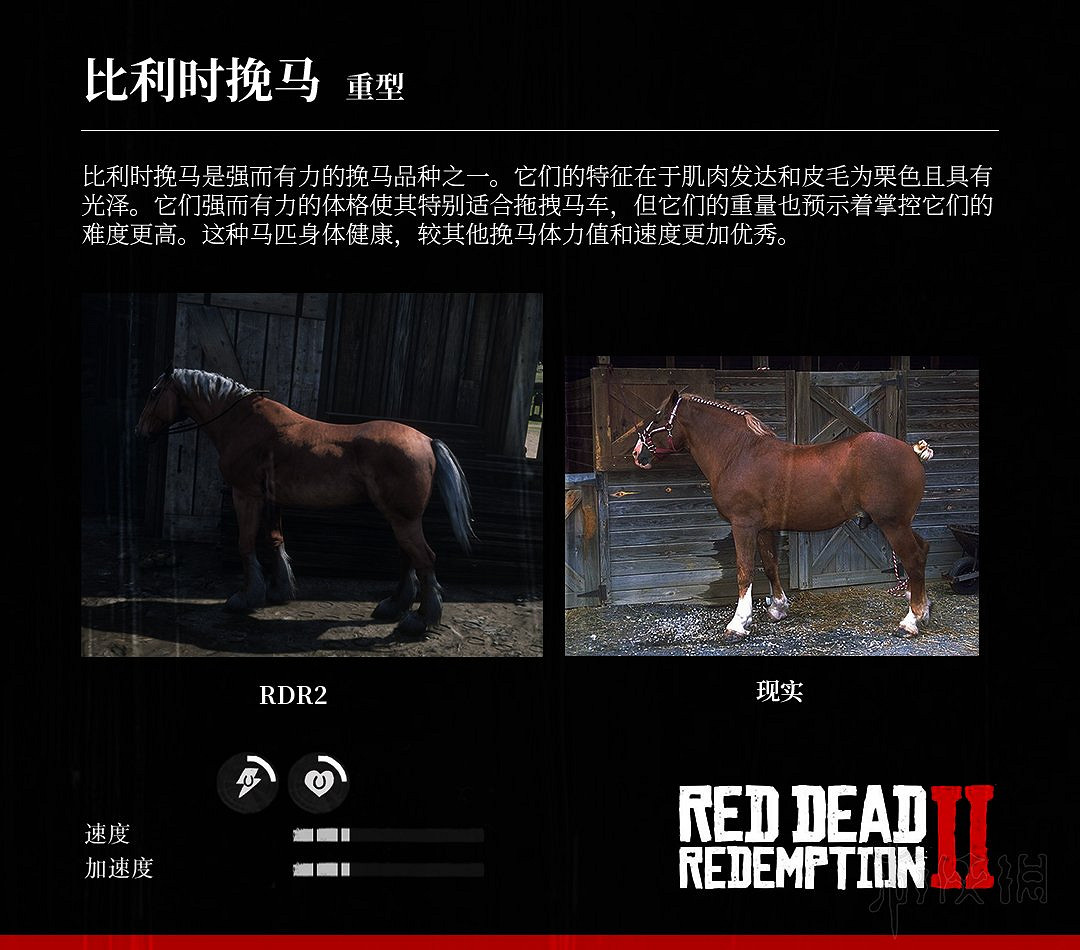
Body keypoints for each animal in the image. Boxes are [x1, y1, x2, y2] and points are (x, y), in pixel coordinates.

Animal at [135, 368, 476, 636]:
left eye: (153, 394)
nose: (141, 433)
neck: (243, 422)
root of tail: (426, 441)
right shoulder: (271, 500)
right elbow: (274, 540)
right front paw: (278, 590)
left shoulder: (246, 495)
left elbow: (246, 544)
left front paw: (246, 598)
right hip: (400, 517)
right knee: (409, 557)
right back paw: (394, 606)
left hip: (403, 517)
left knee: (425, 558)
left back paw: (420, 620)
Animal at [632, 390, 932, 640]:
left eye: (657, 417)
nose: (637, 454)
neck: (739, 453)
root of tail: (912, 452)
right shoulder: (764, 528)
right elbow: (770, 565)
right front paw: (777, 608)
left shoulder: (743, 525)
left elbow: (744, 571)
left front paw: (738, 624)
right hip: (901, 523)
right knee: (924, 548)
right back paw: (922, 607)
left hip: (892, 524)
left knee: (914, 559)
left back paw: (910, 621)